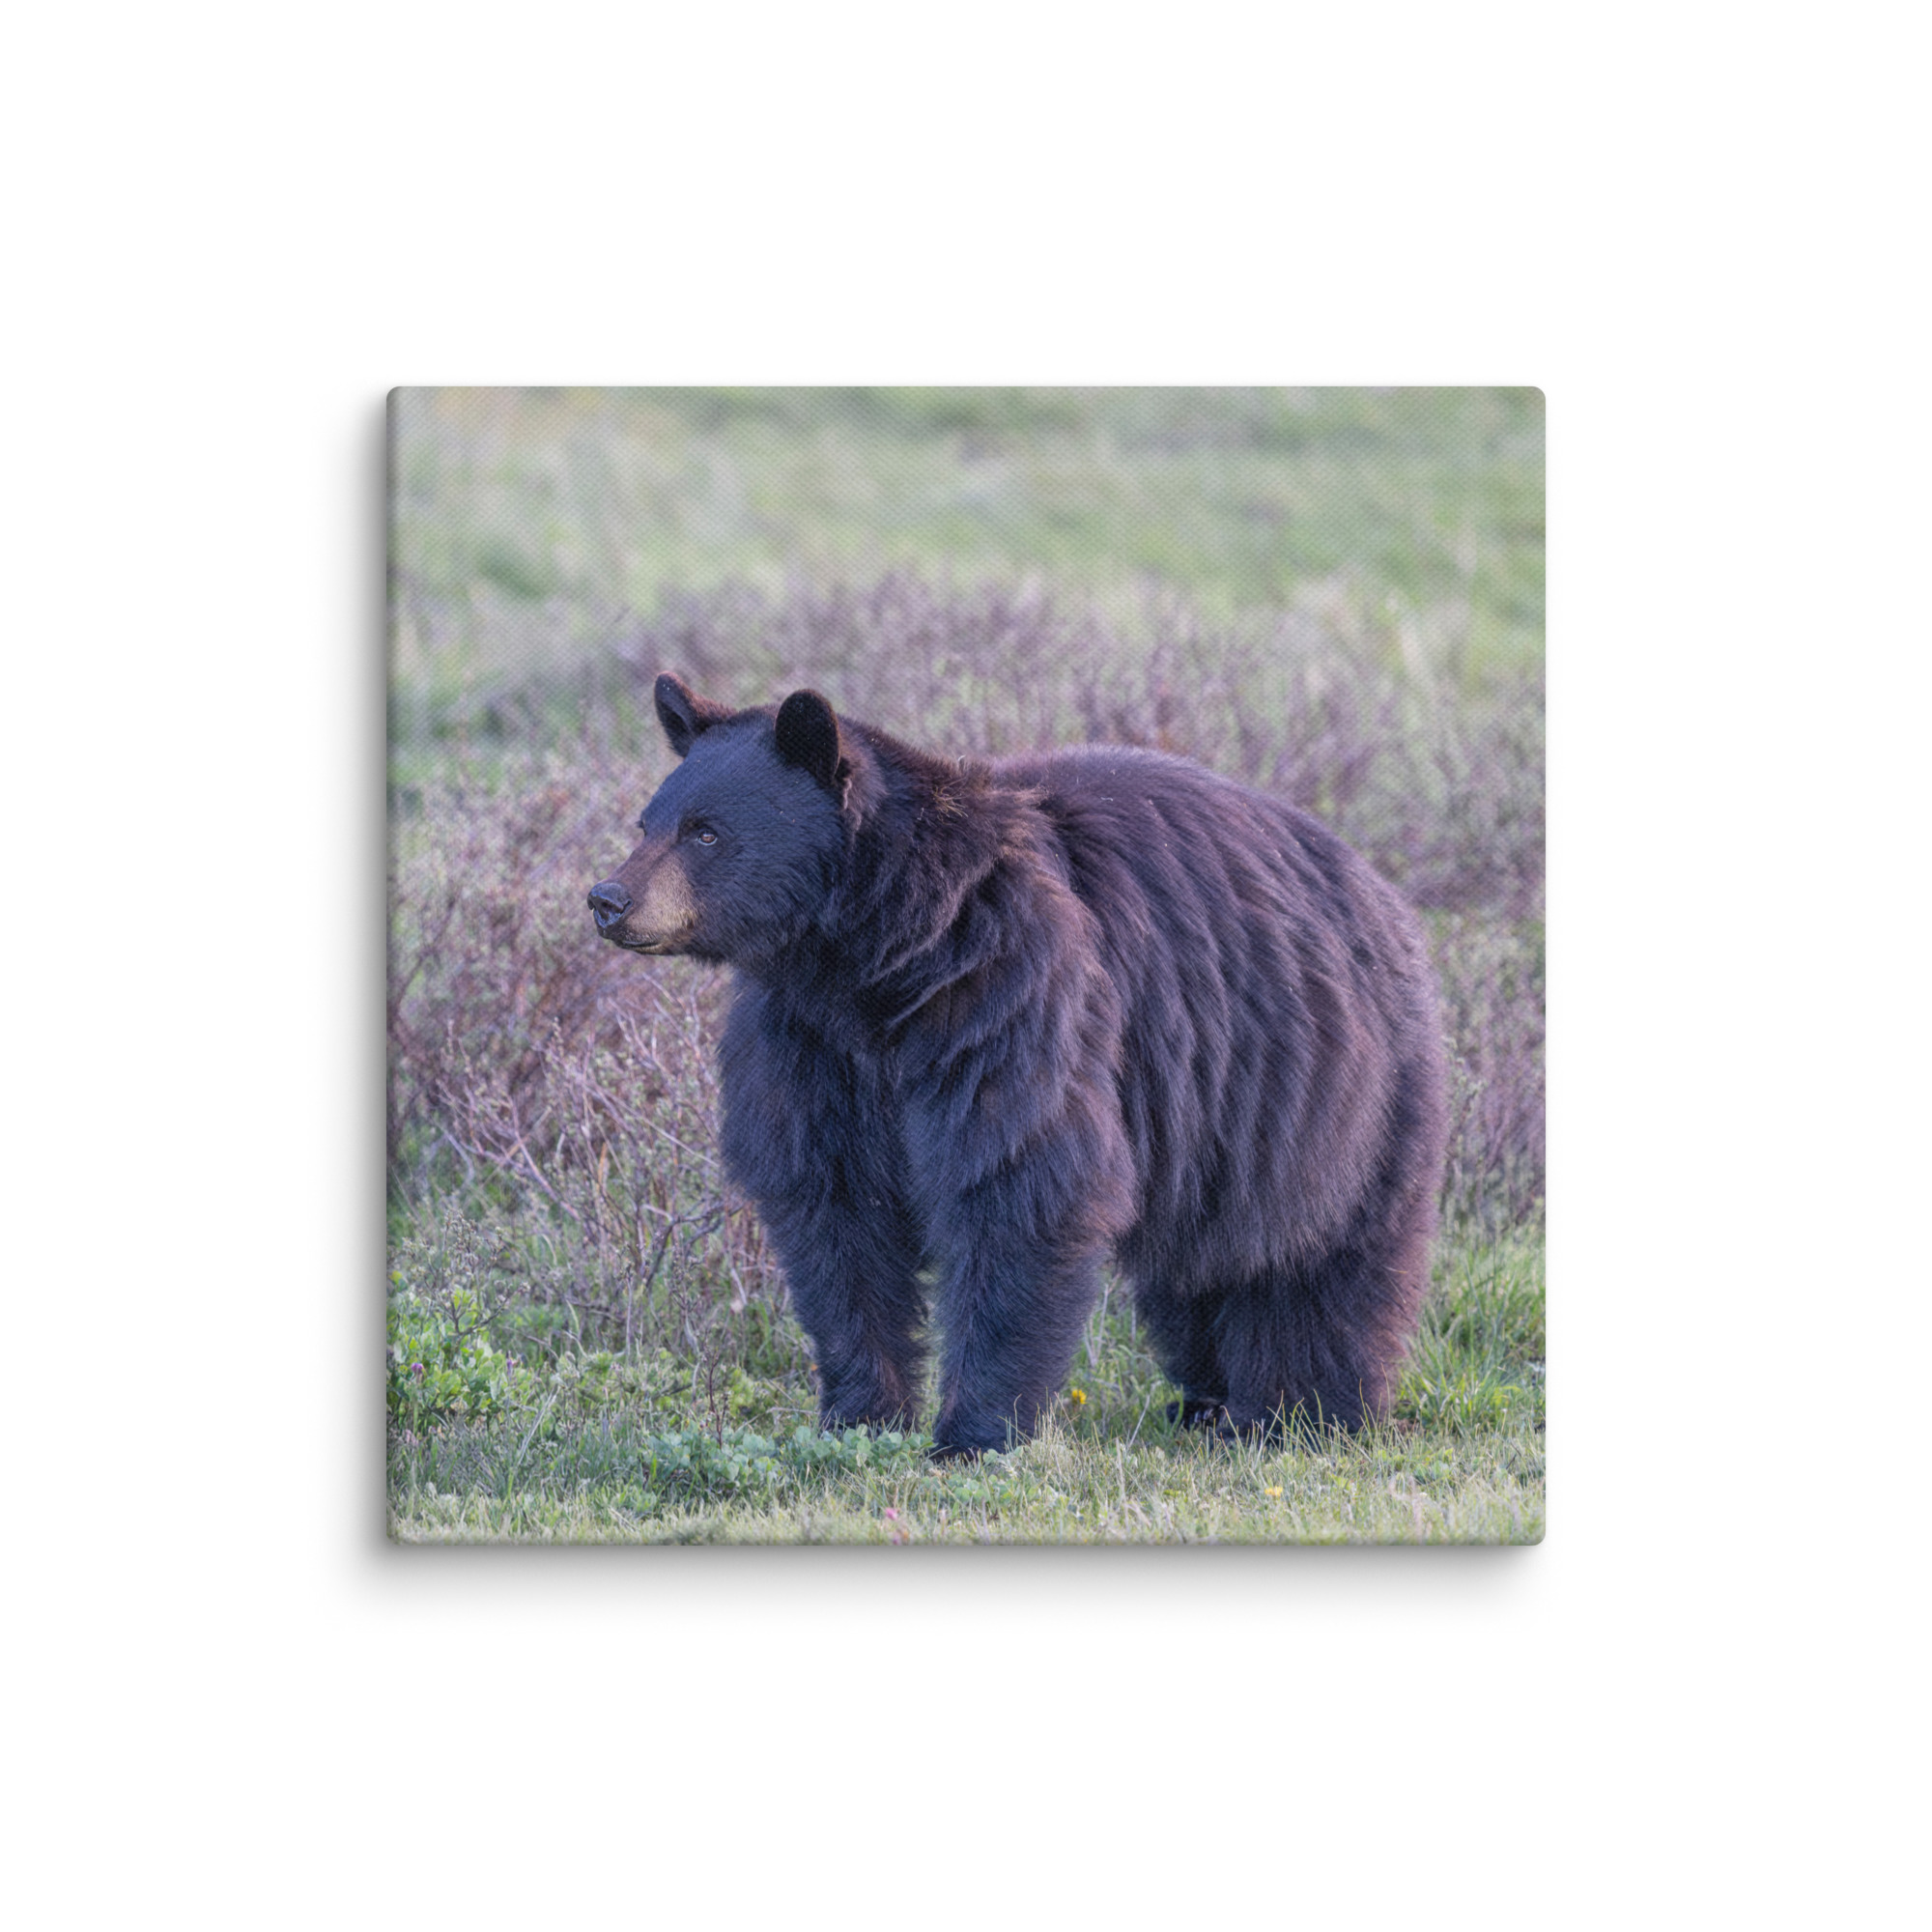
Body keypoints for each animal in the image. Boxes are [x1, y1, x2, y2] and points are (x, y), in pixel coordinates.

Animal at [588, 674, 1449, 1458]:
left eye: (705, 832)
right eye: (647, 820)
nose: (608, 898)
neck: (875, 960)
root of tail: (1379, 888)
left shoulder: (1008, 995)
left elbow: (1017, 1183)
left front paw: (973, 1434)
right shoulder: (810, 1046)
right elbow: (834, 1212)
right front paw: (860, 1415)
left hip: (1328, 1090)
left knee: (1320, 1260)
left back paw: (1302, 1411)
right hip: (1216, 1124)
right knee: (1200, 1268)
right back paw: (1207, 1401)